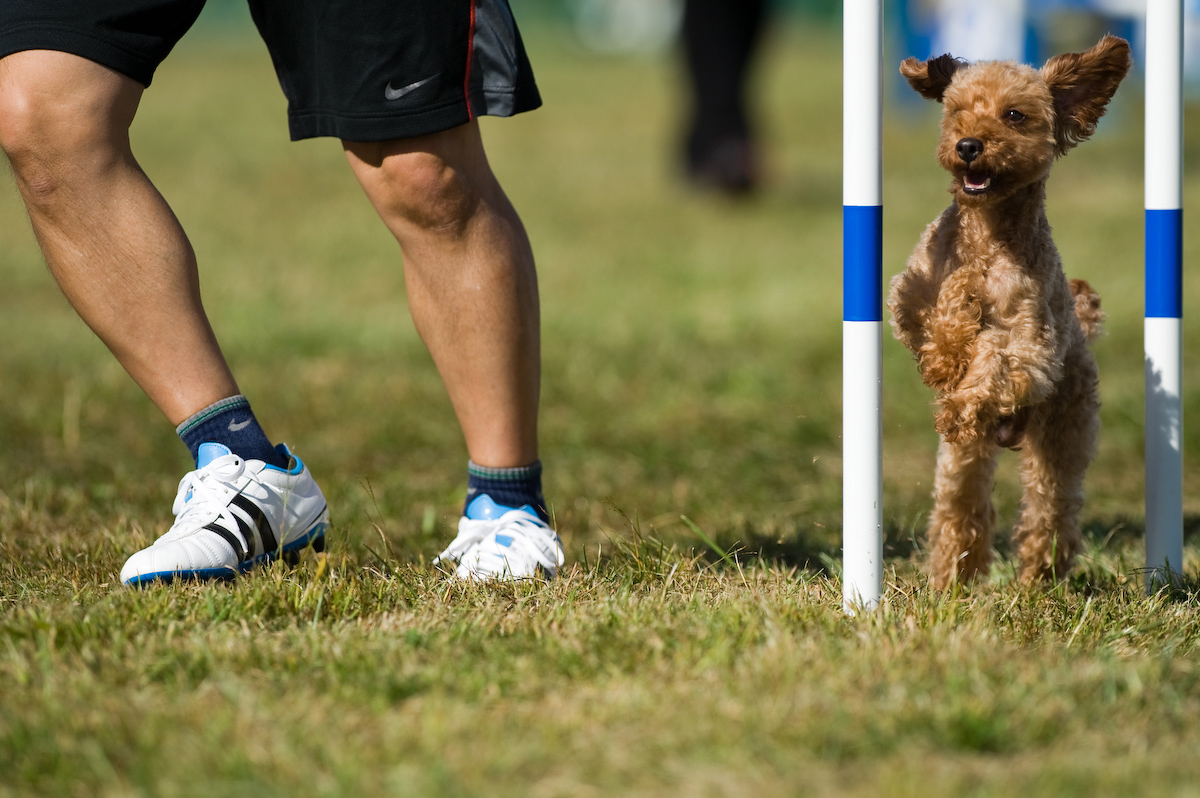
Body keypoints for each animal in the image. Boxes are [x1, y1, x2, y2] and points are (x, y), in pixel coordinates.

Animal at [892, 35, 1132, 585]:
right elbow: (938, 314)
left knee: (1051, 508)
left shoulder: (1033, 348)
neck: (986, 232)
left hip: (1065, 424)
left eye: (1015, 115)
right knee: (962, 507)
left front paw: (961, 396)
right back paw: (952, 578)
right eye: (956, 111)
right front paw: (950, 350)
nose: (967, 146)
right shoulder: (909, 294)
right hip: (962, 462)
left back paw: (1040, 575)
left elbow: (999, 359)